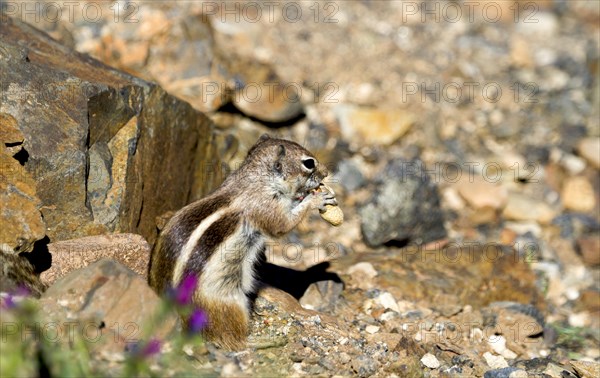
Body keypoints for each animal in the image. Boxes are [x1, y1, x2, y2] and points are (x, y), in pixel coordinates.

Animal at [148, 134, 340, 350]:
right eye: (309, 163)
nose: (326, 172)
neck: (258, 178)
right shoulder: (266, 207)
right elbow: (284, 224)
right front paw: (316, 200)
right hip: (228, 303)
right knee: (232, 339)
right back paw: (264, 340)